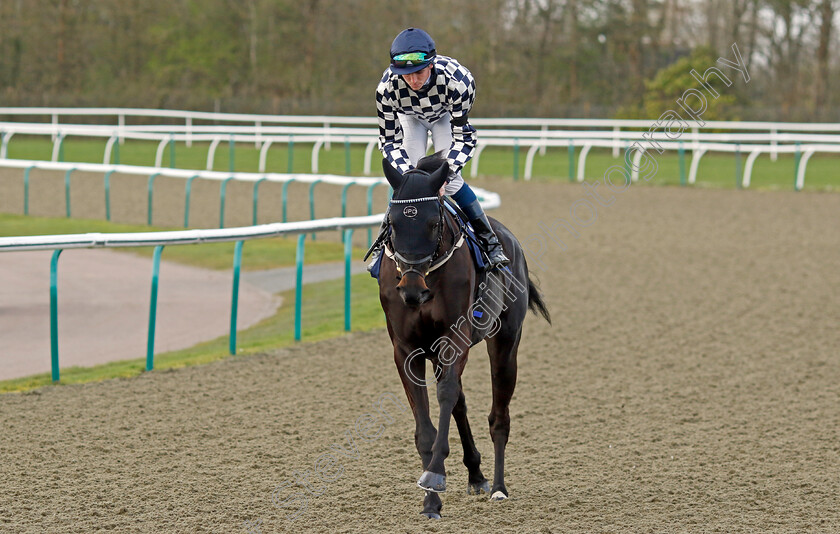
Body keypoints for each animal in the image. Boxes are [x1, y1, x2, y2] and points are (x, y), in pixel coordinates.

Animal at [376, 154, 552, 520]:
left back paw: (498, 486)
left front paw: (435, 476)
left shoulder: (454, 340)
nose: (411, 289)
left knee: (499, 416)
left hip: (505, 343)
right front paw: (430, 498)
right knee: (460, 401)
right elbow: (427, 424)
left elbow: (445, 398)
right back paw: (477, 474)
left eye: (433, 222)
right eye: (393, 223)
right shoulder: (406, 350)